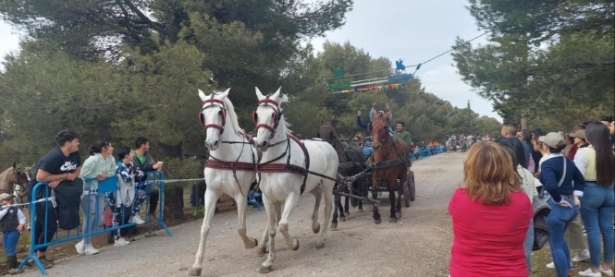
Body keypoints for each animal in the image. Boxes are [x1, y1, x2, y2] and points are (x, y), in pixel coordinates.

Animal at [190, 88, 262, 276]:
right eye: (203, 114)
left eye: (219, 112)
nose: (211, 142)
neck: (225, 158)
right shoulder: (211, 193)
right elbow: (204, 228)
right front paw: (197, 265)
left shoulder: (241, 195)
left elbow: (241, 229)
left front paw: (251, 242)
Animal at [251, 87, 340, 272]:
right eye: (257, 114)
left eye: (274, 115)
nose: (261, 143)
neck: (275, 162)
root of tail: (325, 142)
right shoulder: (268, 198)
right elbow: (272, 228)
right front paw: (269, 261)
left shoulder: (292, 195)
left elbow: (283, 225)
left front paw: (293, 244)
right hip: (310, 184)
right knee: (317, 194)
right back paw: (315, 225)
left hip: (328, 183)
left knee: (328, 207)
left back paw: (321, 239)